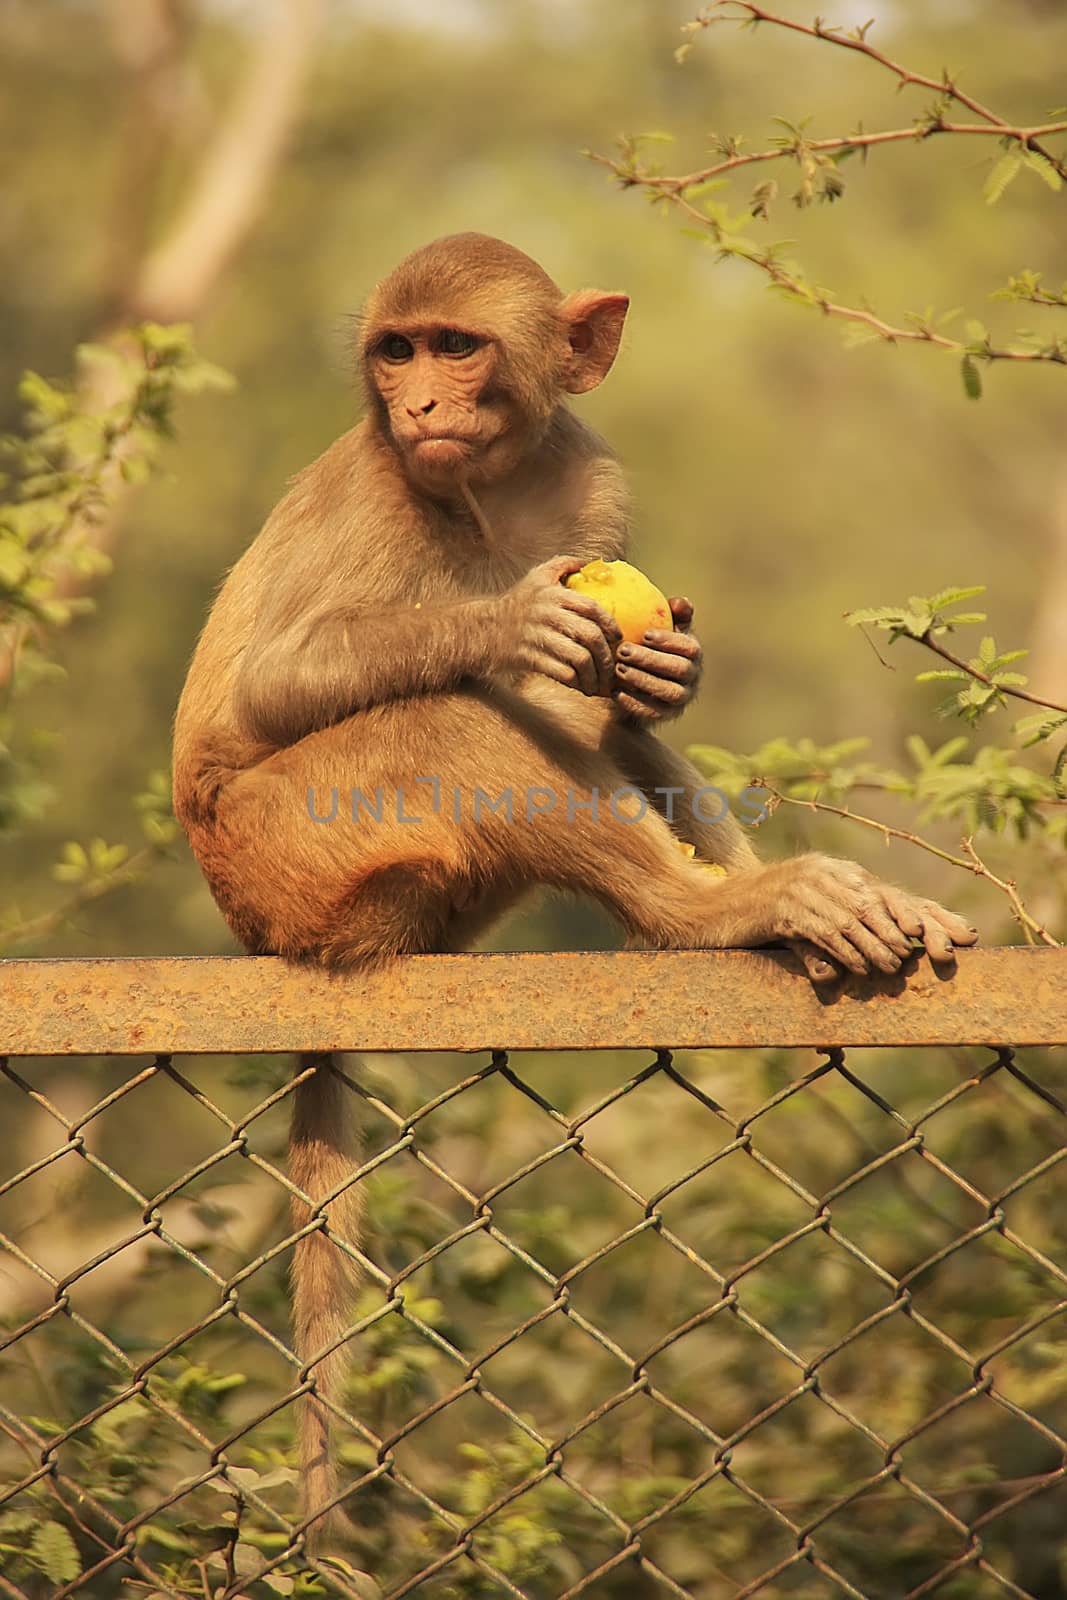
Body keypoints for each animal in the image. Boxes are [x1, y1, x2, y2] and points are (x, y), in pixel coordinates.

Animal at [171, 232, 979, 1542]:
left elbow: (616, 696)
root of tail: (258, 933)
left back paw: (779, 901)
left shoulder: (588, 477)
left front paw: (670, 670)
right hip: (289, 855)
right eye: (396, 353)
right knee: (454, 718)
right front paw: (504, 619)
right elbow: (278, 682)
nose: (419, 405)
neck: (483, 490)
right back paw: (714, 915)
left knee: (589, 721)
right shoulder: (379, 497)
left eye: (453, 347)